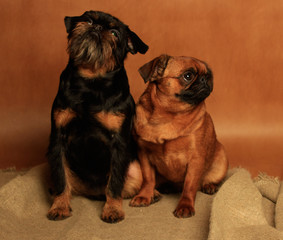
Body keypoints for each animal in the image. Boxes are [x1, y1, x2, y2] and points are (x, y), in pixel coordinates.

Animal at [46, 9, 149, 223]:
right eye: (88, 20)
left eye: (115, 34)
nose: (97, 26)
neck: (90, 81)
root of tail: (94, 192)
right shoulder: (57, 141)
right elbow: (61, 178)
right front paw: (59, 206)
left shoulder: (119, 143)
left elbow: (115, 183)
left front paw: (113, 209)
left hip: (135, 169)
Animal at [130, 54, 230, 218]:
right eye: (188, 76)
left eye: (209, 75)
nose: (205, 79)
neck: (168, 115)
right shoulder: (143, 155)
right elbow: (148, 178)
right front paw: (144, 195)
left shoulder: (195, 160)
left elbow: (189, 185)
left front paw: (185, 205)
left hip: (221, 159)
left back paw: (209, 186)